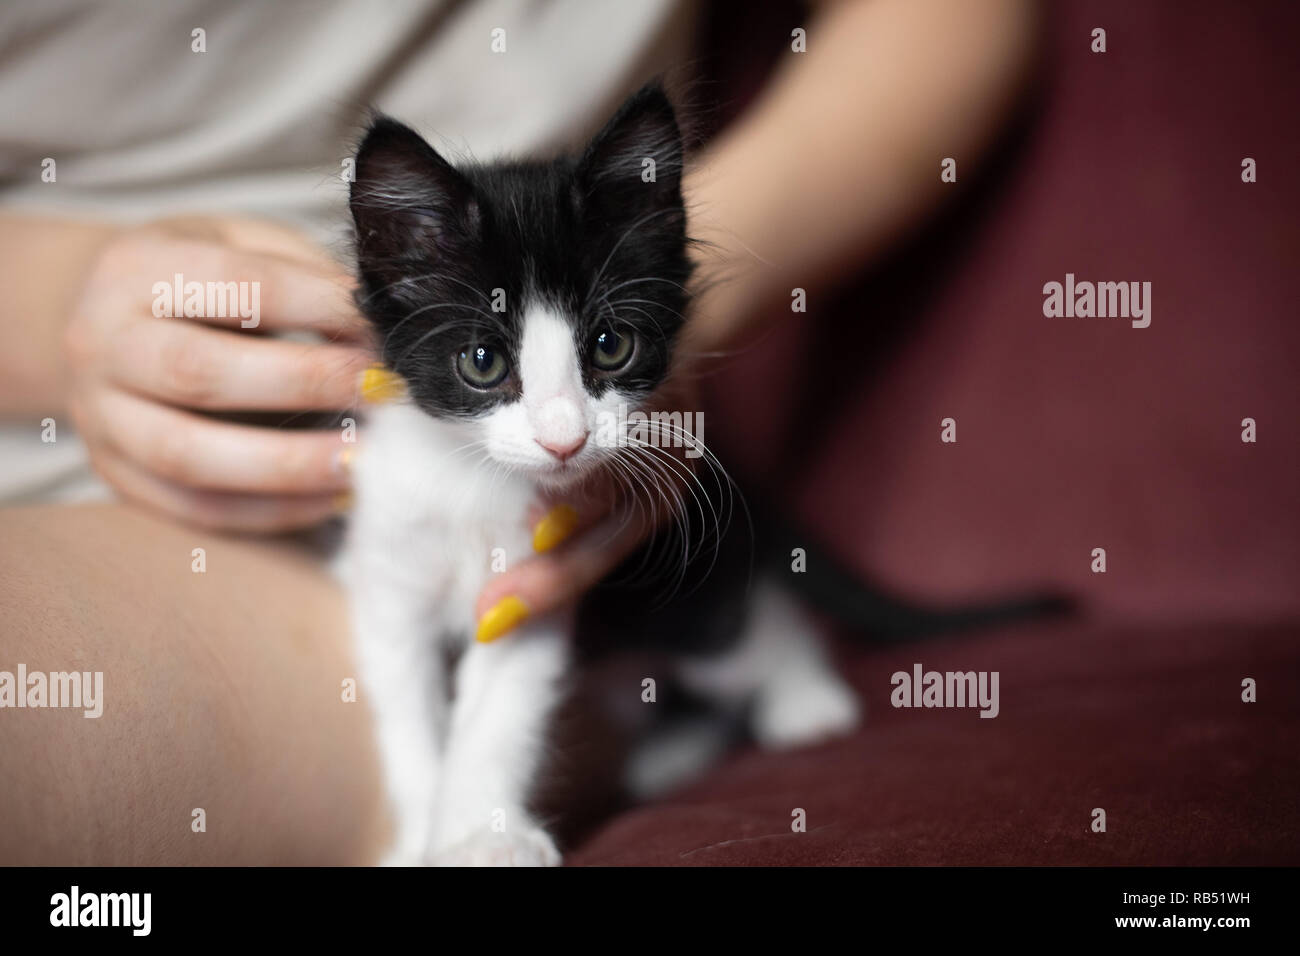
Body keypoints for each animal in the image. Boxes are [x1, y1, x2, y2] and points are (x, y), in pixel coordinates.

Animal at [343, 83, 863, 868]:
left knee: (751, 632)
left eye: (611, 345)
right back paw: (669, 753)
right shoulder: (389, 576)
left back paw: (807, 700)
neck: (479, 484)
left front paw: (483, 835)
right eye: (482, 362)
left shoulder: (537, 586)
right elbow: (407, 719)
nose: (566, 440)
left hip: (681, 599)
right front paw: (417, 841)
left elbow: (497, 716)